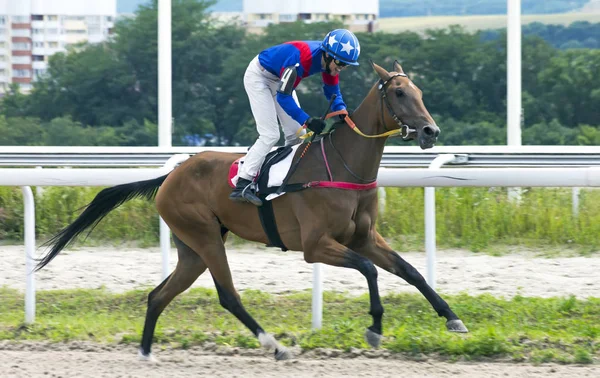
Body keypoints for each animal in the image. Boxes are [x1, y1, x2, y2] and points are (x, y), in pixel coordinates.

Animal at [36, 60, 468, 362]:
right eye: (399, 94)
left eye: (419, 90)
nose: (430, 131)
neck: (343, 166)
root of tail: (171, 174)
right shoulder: (316, 245)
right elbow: (369, 270)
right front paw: (375, 327)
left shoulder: (363, 237)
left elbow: (409, 271)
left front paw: (452, 317)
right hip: (205, 238)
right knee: (228, 296)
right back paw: (275, 346)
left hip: (192, 248)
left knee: (158, 296)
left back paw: (145, 352)